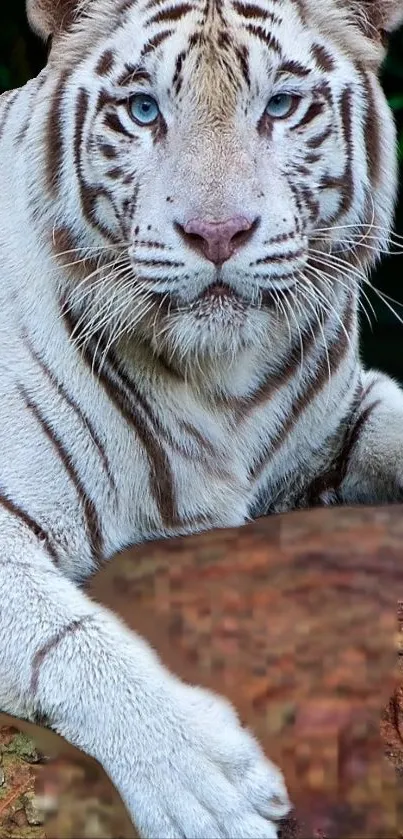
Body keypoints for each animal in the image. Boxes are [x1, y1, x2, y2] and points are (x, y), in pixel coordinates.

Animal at [0, 0, 403, 836]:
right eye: (142, 110)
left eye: (278, 106)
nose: (217, 232)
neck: (219, 384)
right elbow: (65, 638)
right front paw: (205, 784)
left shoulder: (341, 417)